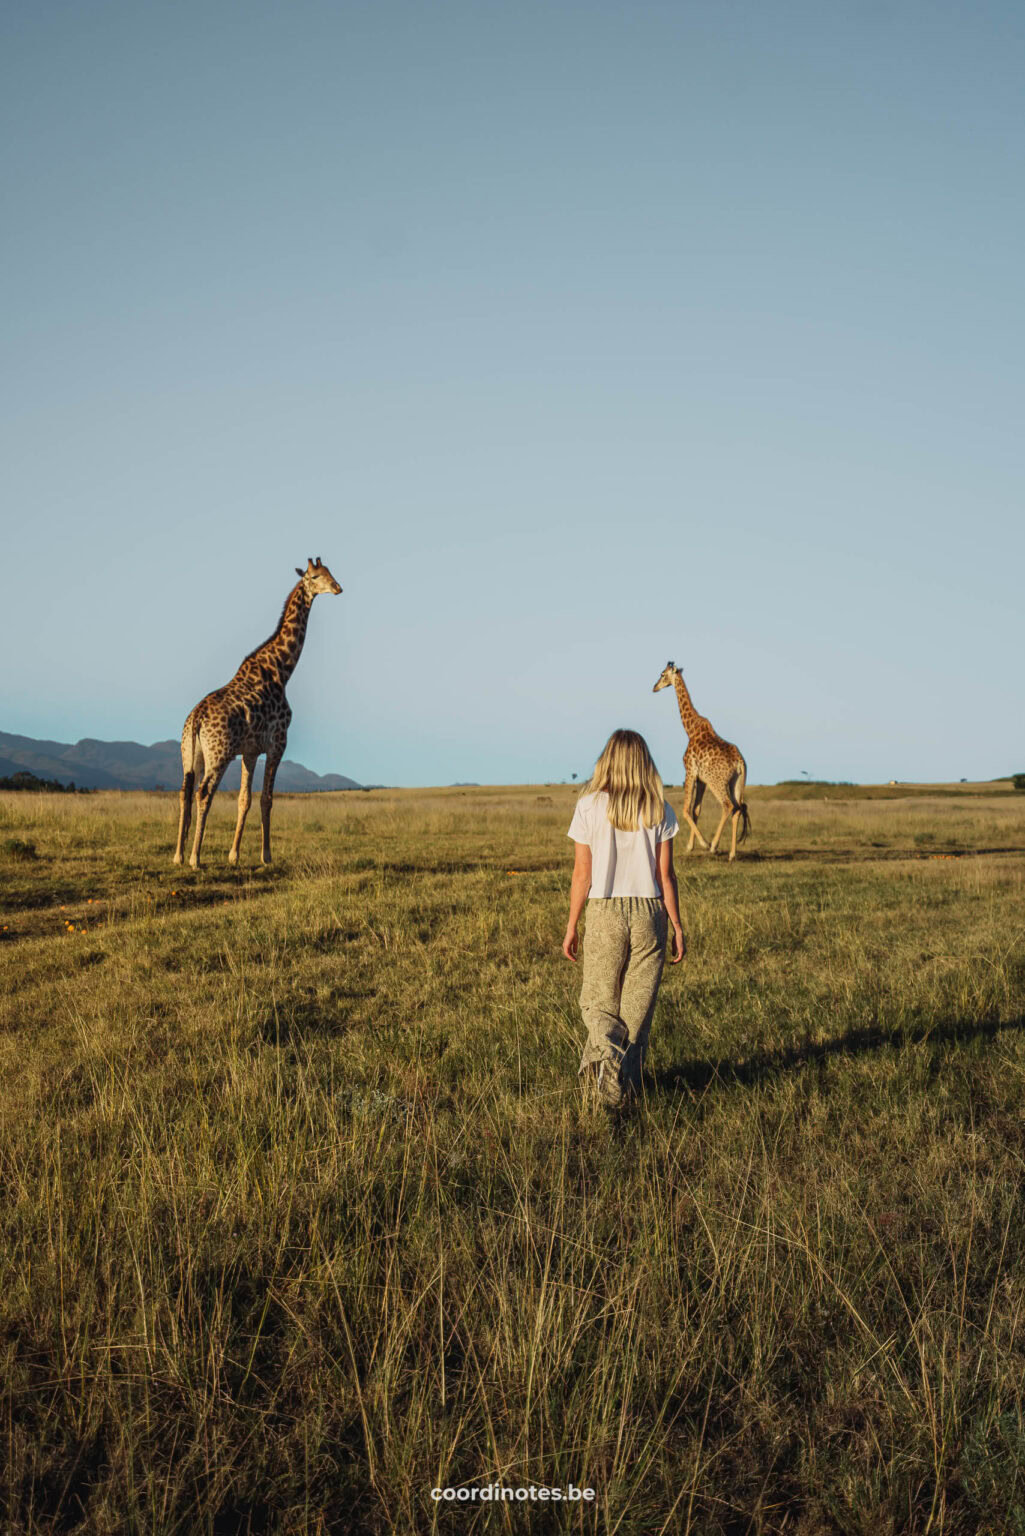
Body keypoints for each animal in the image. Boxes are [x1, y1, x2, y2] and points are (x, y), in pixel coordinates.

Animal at [172, 556, 341, 872]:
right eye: (314, 576)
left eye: (329, 572)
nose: (337, 587)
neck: (282, 670)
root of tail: (197, 718)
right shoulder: (277, 744)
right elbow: (266, 799)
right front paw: (267, 856)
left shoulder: (250, 751)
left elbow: (244, 800)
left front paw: (234, 855)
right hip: (219, 754)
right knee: (204, 793)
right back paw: (195, 858)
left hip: (191, 754)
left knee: (184, 792)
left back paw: (177, 855)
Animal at [654, 663, 749, 866]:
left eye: (662, 674)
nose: (654, 687)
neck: (690, 729)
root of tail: (739, 763)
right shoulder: (701, 779)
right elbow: (696, 809)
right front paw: (691, 846)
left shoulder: (690, 772)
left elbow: (685, 809)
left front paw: (703, 844)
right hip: (737, 782)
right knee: (737, 809)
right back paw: (732, 854)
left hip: (717, 782)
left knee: (728, 805)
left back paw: (713, 845)